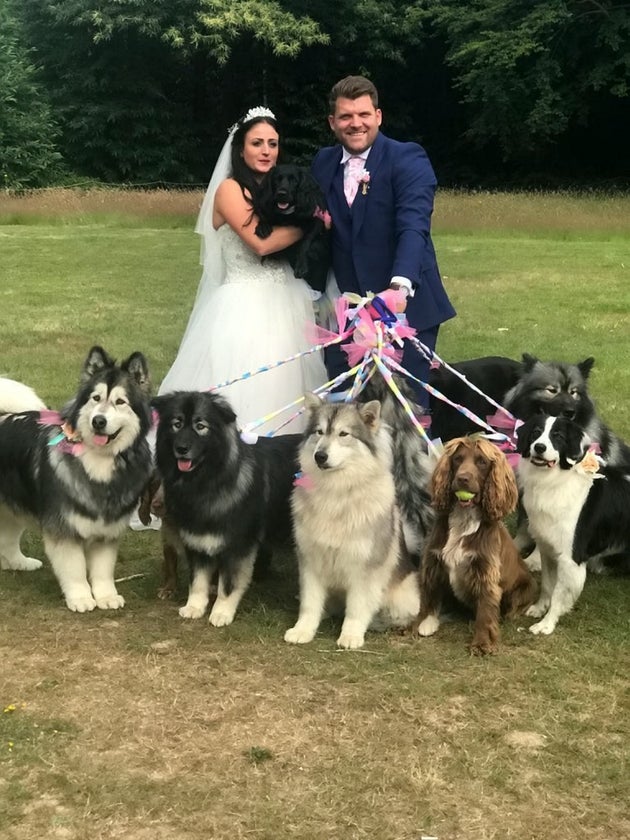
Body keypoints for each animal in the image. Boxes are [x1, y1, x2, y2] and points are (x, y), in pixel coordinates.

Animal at [0, 348, 153, 612]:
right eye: (95, 398)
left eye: (120, 402)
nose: (98, 421)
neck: (99, 461)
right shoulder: (64, 530)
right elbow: (75, 570)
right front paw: (80, 598)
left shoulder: (106, 530)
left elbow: (103, 570)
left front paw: (106, 596)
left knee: (8, 537)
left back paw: (20, 562)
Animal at [286, 394, 420, 648]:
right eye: (319, 432)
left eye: (343, 434)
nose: (320, 456)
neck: (336, 491)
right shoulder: (311, 560)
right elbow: (310, 604)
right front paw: (303, 630)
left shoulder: (364, 568)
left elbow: (357, 608)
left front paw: (351, 635)